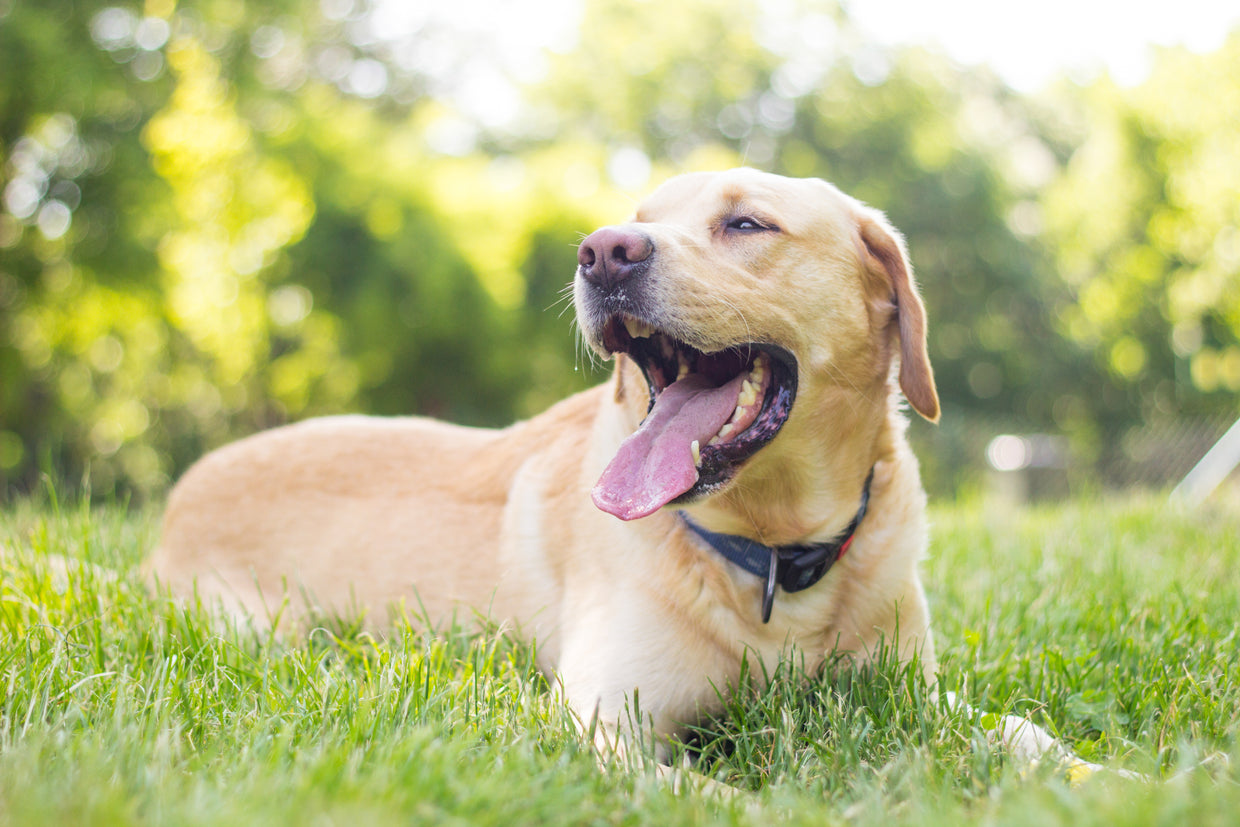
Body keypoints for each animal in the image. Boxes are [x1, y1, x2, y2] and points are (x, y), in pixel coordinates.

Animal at [150, 169, 937, 768]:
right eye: (636, 221)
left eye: (747, 224)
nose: (603, 251)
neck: (773, 556)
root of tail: (183, 491)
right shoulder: (600, 722)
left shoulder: (919, 697)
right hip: (255, 628)